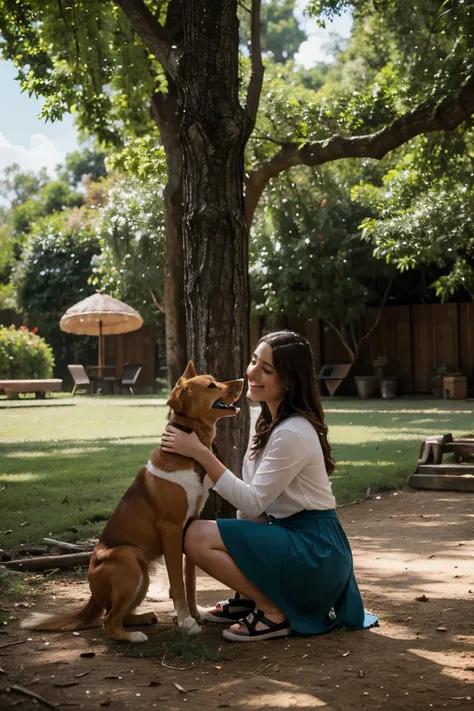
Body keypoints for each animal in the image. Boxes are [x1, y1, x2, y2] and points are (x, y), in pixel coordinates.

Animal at [20, 364, 243, 644]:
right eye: (211, 385)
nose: (242, 380)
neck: (188, 454)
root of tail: (92, 595)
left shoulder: (190, 525)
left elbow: (190, 582)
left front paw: (195, 614)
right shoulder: (171, 529)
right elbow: (177, 584)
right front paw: (185, 622)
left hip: (143, 574)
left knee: (116, 614)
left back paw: (145, 618)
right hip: (130, 558)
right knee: (108, 621)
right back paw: (133, 636)